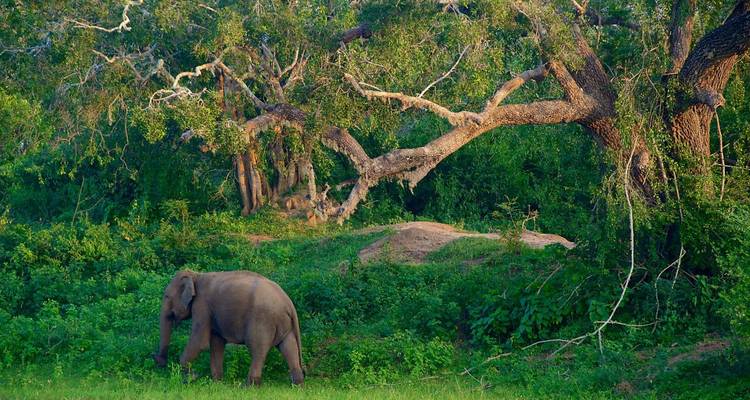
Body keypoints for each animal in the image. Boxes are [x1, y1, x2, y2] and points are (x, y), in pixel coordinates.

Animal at [152, 270, 304, 386]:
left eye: (167, 296)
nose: (159, 361)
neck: (195, 275)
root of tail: (289, 303)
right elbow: (216, 342)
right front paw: (217, 382)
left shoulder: (202, 306)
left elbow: (200, 342)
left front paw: (191, 379)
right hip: (283, 323)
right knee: (288, 347)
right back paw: (297, 385)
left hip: (262, 320)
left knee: (257, 349)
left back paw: (248, 386)